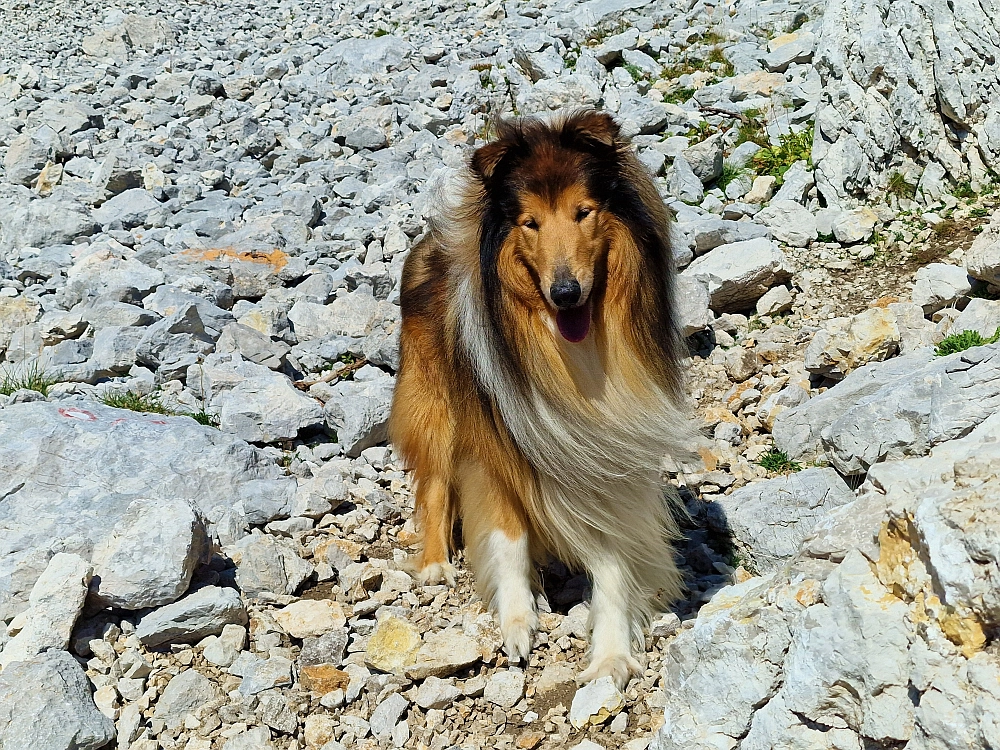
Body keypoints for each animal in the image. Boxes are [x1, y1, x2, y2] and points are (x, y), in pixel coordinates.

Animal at [386, 108, 692, 692]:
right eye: (530, 222)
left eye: (583, 212)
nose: (565, 292)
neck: (568, 354)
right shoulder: (492, 444)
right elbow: (507, 540)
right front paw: (517, 622)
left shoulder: (608, 453)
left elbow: (613, 558)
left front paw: (611, 653)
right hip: (434, 404)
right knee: (433, 484)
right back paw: (435, 562)